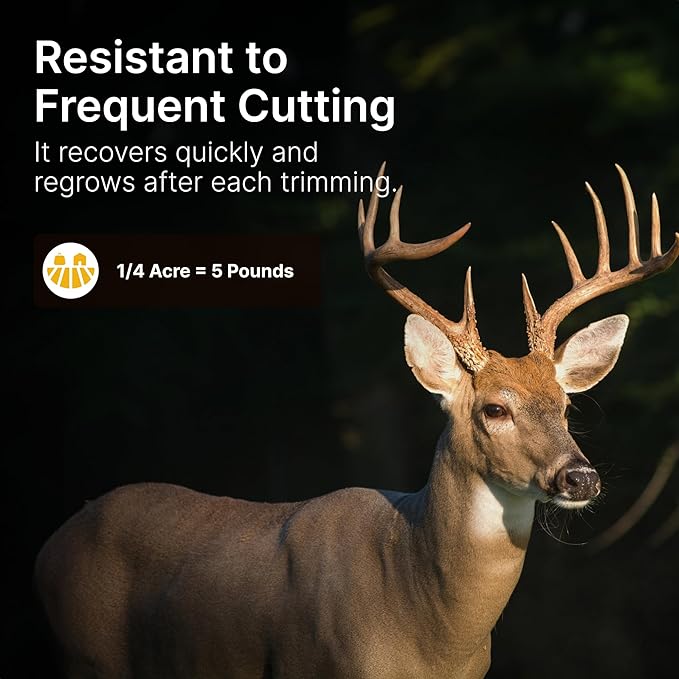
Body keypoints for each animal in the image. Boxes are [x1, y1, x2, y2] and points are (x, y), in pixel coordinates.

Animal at [35, 164, 678, 679]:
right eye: (494, 408)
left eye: (566, 407)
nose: (580, 478)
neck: (426, 632)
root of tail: (52, 545)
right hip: (86, 656)